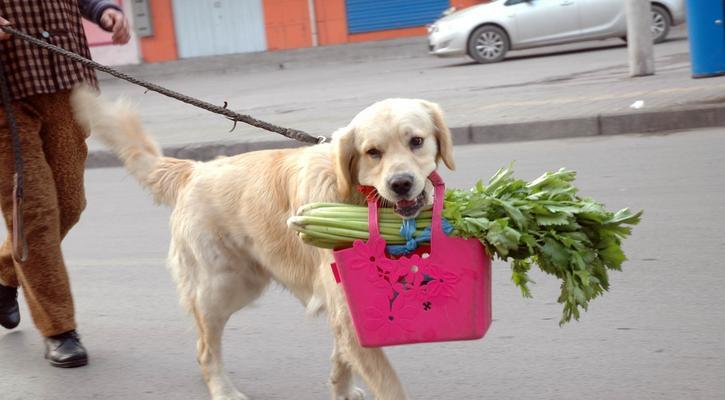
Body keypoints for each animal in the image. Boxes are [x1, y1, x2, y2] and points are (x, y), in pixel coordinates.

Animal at [69, 87, 452, 400]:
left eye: (416, 141)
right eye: (373, 152)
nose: (401, 183)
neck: (361, 200)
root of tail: (193, 170)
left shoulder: (346, 308)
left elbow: (342, 355)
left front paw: (340, 389)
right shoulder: (346, 305)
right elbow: (388, 383)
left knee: (201, 340)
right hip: (224, 286)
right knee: (207, 347)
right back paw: (222, 391)